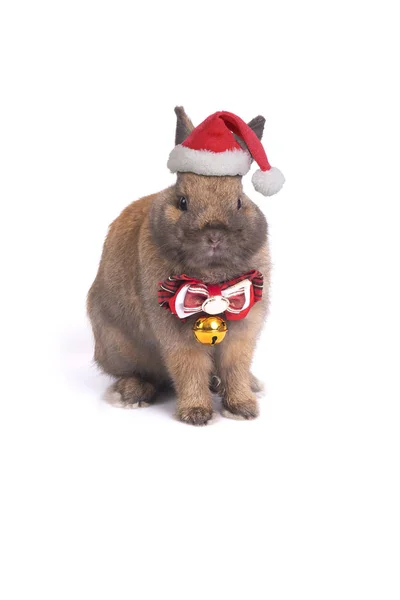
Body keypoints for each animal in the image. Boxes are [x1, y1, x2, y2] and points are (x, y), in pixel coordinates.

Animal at [86, 109, 284, 426]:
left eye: (239, 202)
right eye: (182, 201)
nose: (214, 235)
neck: (212, 280)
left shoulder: (245, 325)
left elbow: (235, 366)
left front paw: (242, 408)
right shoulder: (175, 332)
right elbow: (189, 366)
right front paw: (197, 414)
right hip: (118, 345)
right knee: (136, 373)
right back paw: (131, 394)